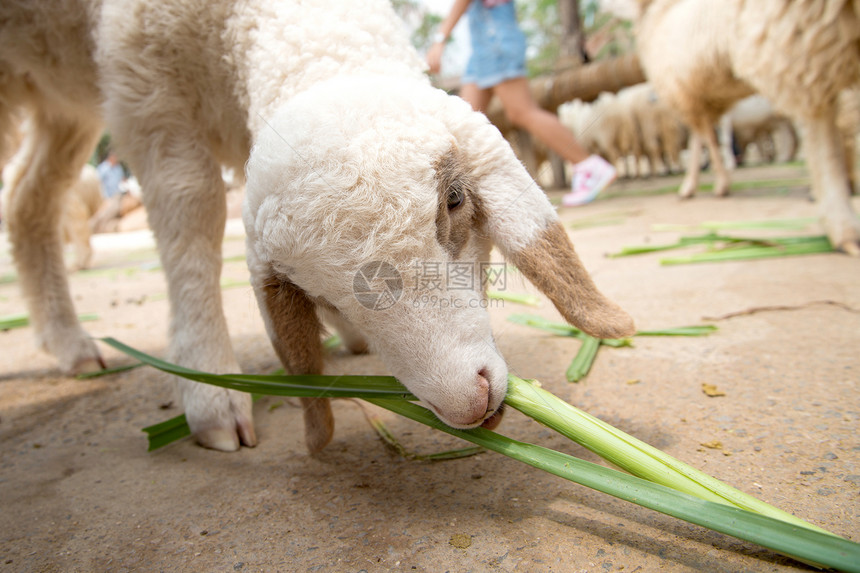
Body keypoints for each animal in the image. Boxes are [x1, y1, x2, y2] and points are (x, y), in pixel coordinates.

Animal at [0, 2, 636, 454]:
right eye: (312, 289)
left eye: (455, 201)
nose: (467, 404)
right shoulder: (146, 88)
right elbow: (190, 212)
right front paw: (209, 387)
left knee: (27, 202)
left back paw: (69, 344)